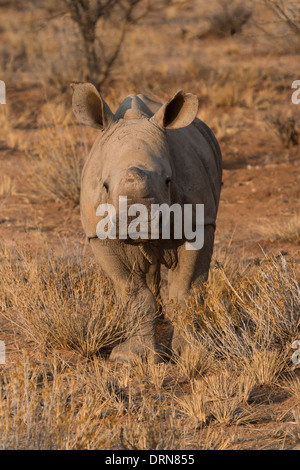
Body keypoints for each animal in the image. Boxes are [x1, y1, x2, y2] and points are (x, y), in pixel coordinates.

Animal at [71, 82, 221, 364]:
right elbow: (133, 293)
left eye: (168, 181)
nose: (140, 225)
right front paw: (128, 359)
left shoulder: (199, 223)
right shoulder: (100, 234)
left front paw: (193, 353)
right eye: (105, 185)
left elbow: (185, 289)